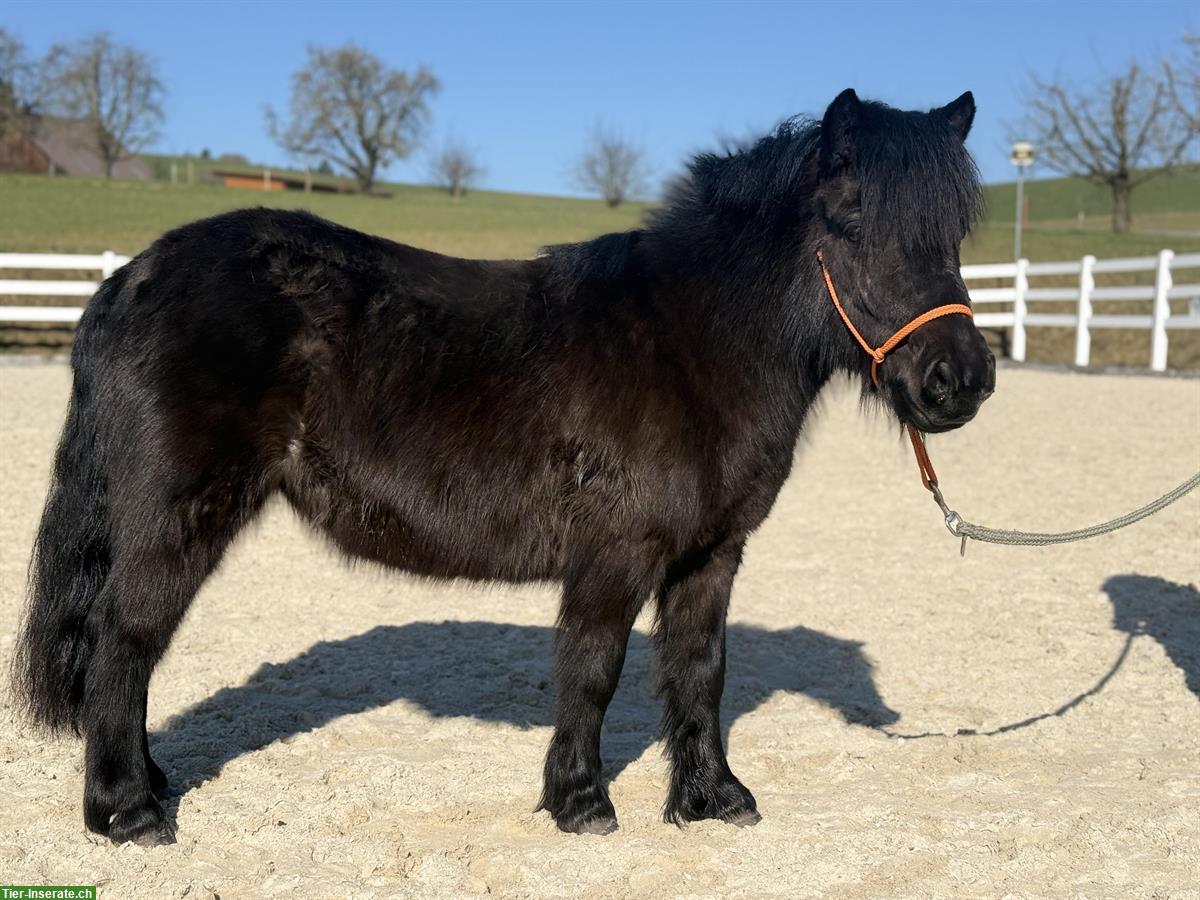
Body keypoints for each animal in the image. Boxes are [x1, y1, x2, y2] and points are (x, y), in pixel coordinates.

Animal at [14, 90, 993, 844]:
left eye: (955, 232)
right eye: (853, 222)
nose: (960, 378)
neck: (688, 343)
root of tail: (130, 278)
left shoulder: (709, 557)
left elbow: (699, 671)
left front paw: (713, 800)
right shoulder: (616, 554)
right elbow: (593, 670)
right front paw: (582, 803)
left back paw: (150, 784)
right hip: (180, 516)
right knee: (124, 642)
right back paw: (128, 812)